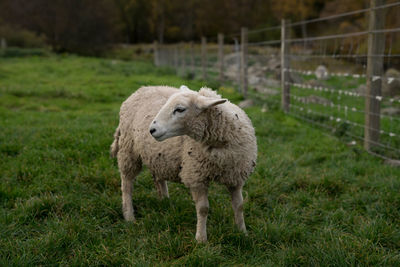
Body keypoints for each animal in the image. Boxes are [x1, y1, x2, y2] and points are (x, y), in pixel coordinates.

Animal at [111, 85, 258, 243]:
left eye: (180, 109)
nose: (152, 130)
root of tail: (143, 88)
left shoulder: (235, 177)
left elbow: (239, 206)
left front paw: (242, 232)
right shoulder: (196, 176)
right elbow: (203, 209)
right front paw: (201, 239)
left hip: (157, 155)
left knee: (158, 177)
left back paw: (164, 200)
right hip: (128, 150)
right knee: (127, 184)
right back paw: (129, 216)